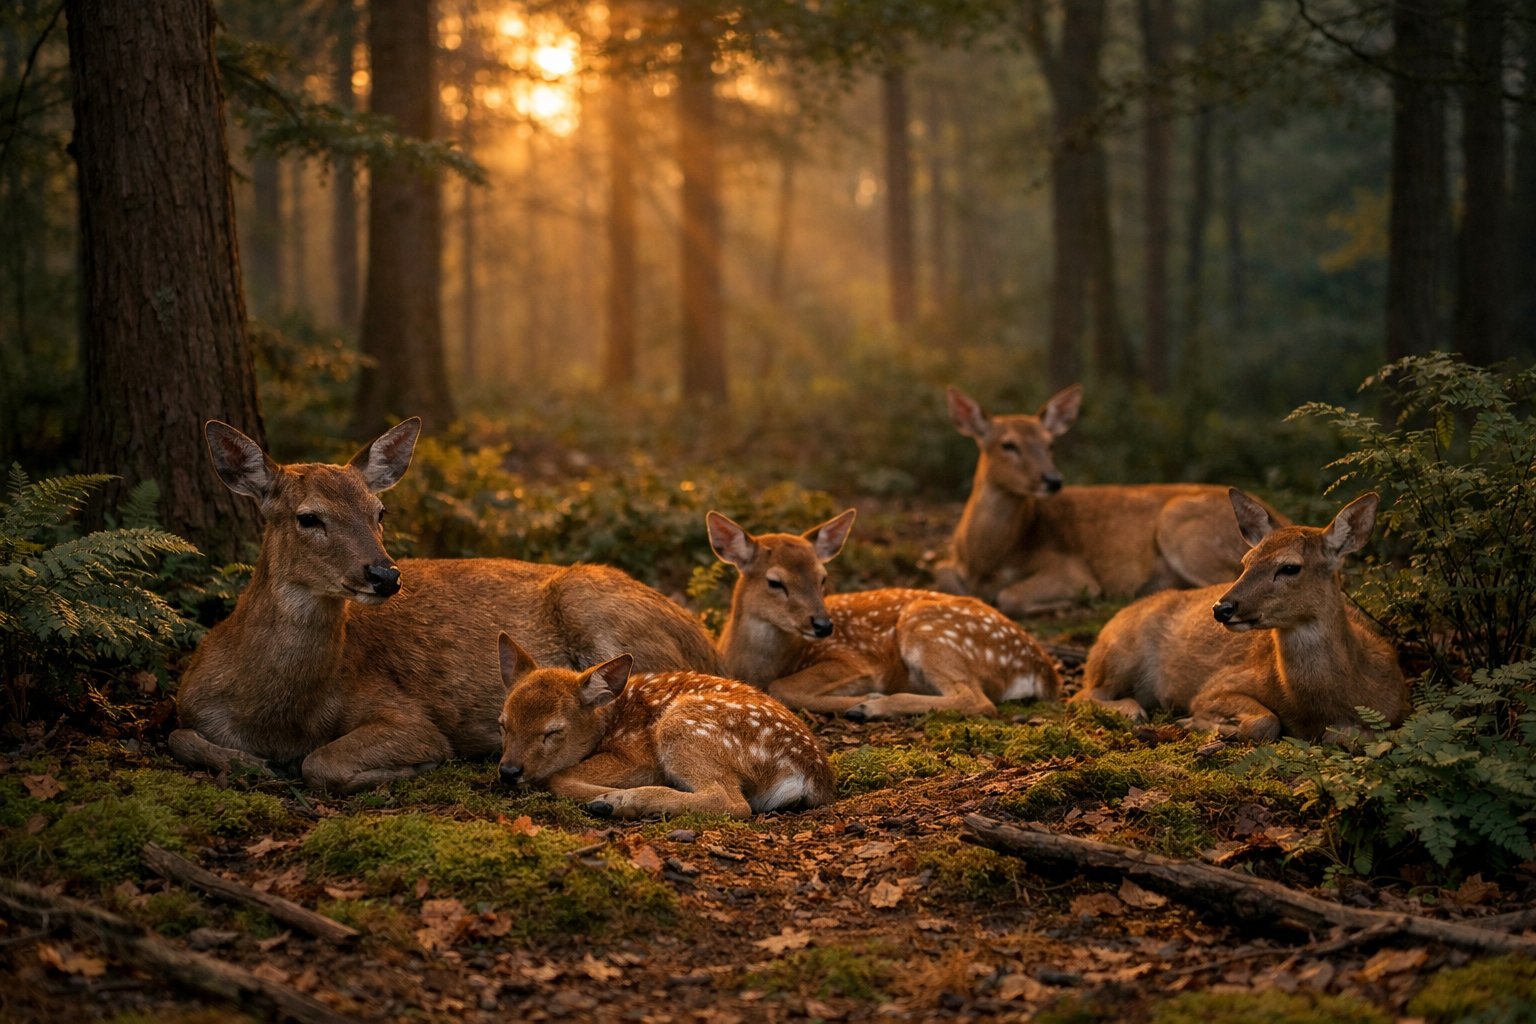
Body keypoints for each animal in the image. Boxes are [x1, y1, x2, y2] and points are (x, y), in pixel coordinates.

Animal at [168, 418, 720, 794]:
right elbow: (181, 737)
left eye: (380, 511)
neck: (276, 713)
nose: (385, 574)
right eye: (308, 517)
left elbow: (320, 762)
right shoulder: (189, 701)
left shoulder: (404, 714)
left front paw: (414, 767)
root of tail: (706, 638)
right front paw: (250, 764)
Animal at [495, 635, 835, 819]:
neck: (609, 721)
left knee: (731, 801)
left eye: (554, 731)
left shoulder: (637, 756)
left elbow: (557, 778)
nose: (508, 771)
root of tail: (810, 775)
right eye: (503, 724)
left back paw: (621, 802)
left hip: (683, 726)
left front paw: (608, 797)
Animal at [707, 509, 1060, 719]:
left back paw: (871, 706)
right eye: (775, 582)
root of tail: (1043, 669)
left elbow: (782, 688)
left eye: (822, 578)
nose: (823, 625)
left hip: (930, 628)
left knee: (977, 700)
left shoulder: (852, 659)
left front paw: (860, 699)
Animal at [933, 385, 1289, 617]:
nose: (1053, 479)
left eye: (1050, 444)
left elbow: (1008, 596)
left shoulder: (1071, 568)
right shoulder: (950, 565)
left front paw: (1076, 601)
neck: (986, 557)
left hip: (1184, 528)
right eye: (1007, 444)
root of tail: (1282, 521)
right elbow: (944, 577)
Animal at [1073, 490, 1409, 743]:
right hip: (1119, 655)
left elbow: (1350, 735)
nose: (1222, 608)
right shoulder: (1216, 687)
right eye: (1246, 561)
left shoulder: (1394, 710)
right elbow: (1266, 722)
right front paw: (1200, 724)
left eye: (1290, 567)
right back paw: (1133, 711)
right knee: (1080, 695)